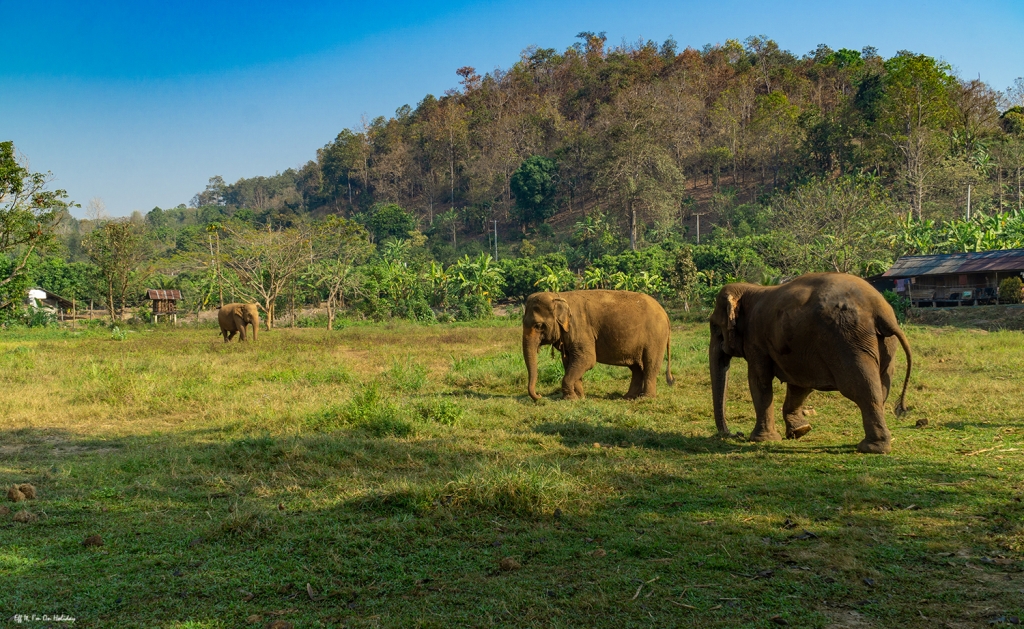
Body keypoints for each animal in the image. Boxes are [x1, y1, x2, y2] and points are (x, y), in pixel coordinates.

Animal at [524, 288, 675, 399]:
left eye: (538, 325)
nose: (539, 395)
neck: (559, 296)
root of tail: (665, 314)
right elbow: (569, 362)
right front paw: (580, 397)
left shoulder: (581, 328)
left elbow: (587, 359)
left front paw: (571, 399)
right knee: (637, 368)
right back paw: (628, 397)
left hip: (656, 337)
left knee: (650, 364)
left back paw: (646, 398)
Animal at [708, 272, 917, 452]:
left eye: (714, 327)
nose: (733, 433)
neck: (751, 289)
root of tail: (880, 309)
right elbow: (800, 384)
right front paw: (800, 431)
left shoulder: (756, 339)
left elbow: (760, 381)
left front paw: (762, 440)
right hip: (884, 345)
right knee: (881, 391)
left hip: (847, 338)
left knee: (861, 389)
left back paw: (872, 448)